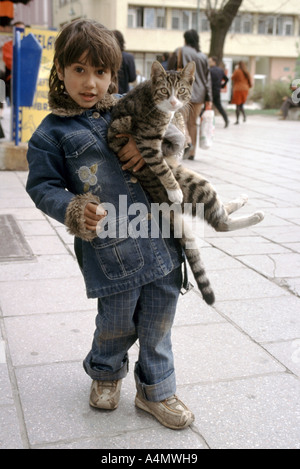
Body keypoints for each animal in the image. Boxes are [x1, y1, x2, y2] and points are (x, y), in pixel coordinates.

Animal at [108, 61, 264, 304]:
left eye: (181, 90)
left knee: (220, 211)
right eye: (164, 91)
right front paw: (174, 190)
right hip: (195, 184)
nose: (173, 102)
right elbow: (161, 166)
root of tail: (159, 201)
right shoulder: (145, 142)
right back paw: (254, 215)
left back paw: (242, 199)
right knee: (219, 222)